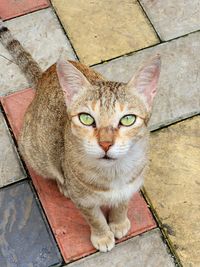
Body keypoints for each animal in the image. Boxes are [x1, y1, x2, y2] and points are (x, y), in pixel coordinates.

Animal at [0, 19, 161, 252]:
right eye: (86, 118)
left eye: (127, 119)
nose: (105, 143)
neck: (113, 173)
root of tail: (44, 75)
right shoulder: (83, 201)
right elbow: (94, 218)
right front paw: (102, 235)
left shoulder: (132, 185)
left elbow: (122, 203)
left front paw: (119, 222)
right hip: (34, 151)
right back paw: (62, 184)